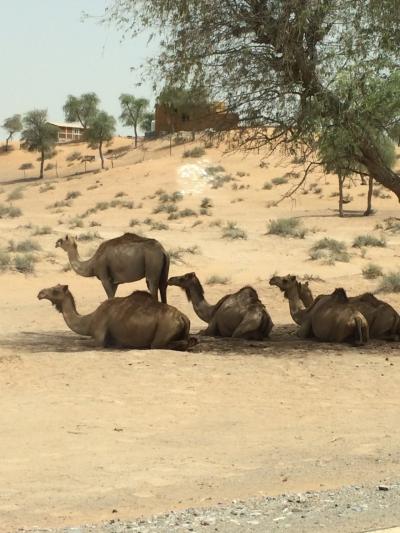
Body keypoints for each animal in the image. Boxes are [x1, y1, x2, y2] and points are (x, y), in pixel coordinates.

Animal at [37, 282, 194, 350]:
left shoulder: (99, 335)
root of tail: (183, 317)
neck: (89, 320)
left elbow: (79, 342)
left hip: (164, 330)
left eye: (56, 290)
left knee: (159, 345)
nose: (40, 293)